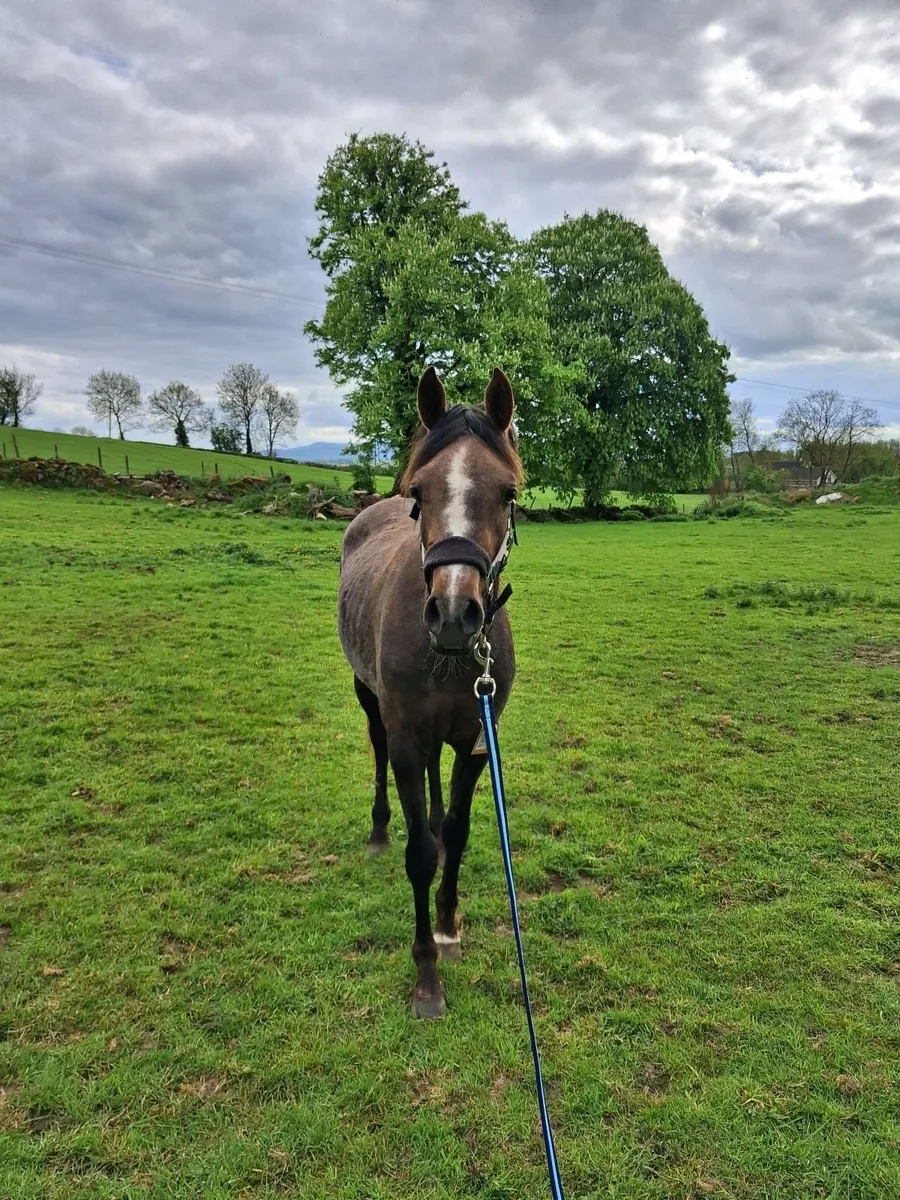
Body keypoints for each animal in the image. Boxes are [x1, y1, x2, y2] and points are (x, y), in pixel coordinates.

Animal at [337, 366, 522, 1018]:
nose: (454, 614)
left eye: (509, 493)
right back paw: (377, 831)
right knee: (375, 753)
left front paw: (447, 928)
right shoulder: (407, 741)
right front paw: (426, 976)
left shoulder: (475, 740)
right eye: (420, 492)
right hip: (369, 702)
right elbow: (418, 853)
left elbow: (460, 835)